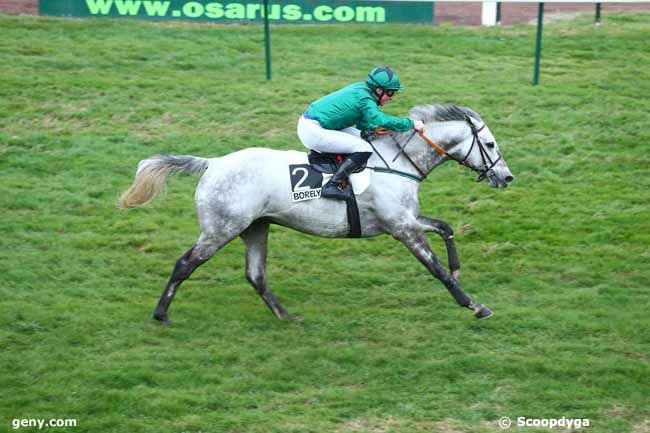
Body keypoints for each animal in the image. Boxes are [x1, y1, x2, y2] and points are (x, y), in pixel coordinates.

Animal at [117, 103, 512, 322]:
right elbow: (435, 268)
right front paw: (473, 305)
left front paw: (460, 271)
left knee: (255, 275)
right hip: (220, 229)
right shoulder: (401, 227)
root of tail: (212, 163)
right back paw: (161, 314)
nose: (506, 177)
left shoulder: (405, 220)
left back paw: (286, 316)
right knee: (185, 264)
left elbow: (445, 228)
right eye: (490, 144)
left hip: (255, 227)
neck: (399, 162)